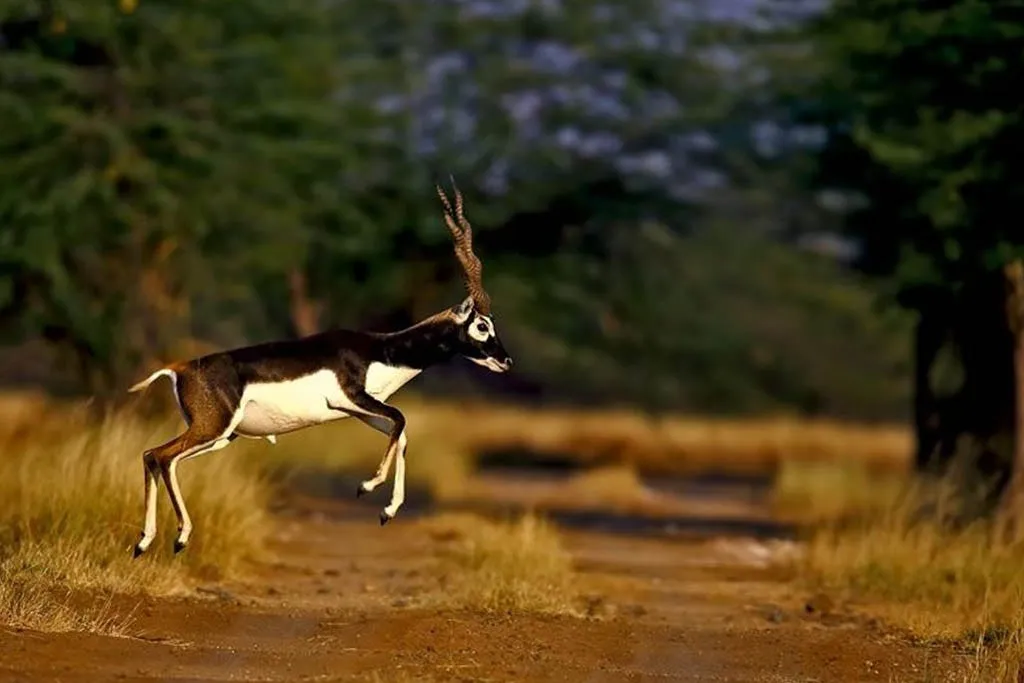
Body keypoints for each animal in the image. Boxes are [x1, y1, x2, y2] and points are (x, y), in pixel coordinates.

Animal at [128, 179, 512, 557]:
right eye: (482, 326)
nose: (506, 361)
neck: (382, 350)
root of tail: (179, 368)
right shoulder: (353, 398)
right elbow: (402, 420)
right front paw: (366, 485)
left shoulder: (359, 411)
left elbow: (400, 435)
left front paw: (387, 511)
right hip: (213, 428)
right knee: (161, 456)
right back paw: (177, 537)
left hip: (221, 436)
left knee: (154, 456)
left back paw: (145, 542)